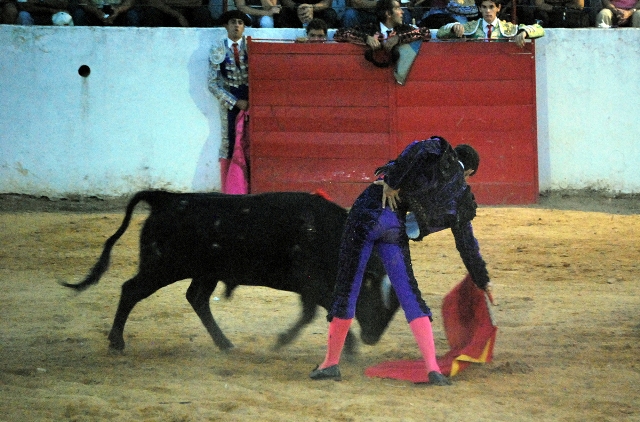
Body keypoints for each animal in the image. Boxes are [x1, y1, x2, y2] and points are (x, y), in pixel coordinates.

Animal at [61, 190, 400, 352]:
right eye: (377, 304)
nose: (371, 339)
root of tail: (166, 199)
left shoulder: (309, 288)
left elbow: (310, 314)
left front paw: (283, 341)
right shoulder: (312, 283)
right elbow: (325, 312)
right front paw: (349, 349)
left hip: (204, 273)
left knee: (196, 298)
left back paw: (224, 343)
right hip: (162, 267)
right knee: (131, 290)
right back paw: (116, 342)